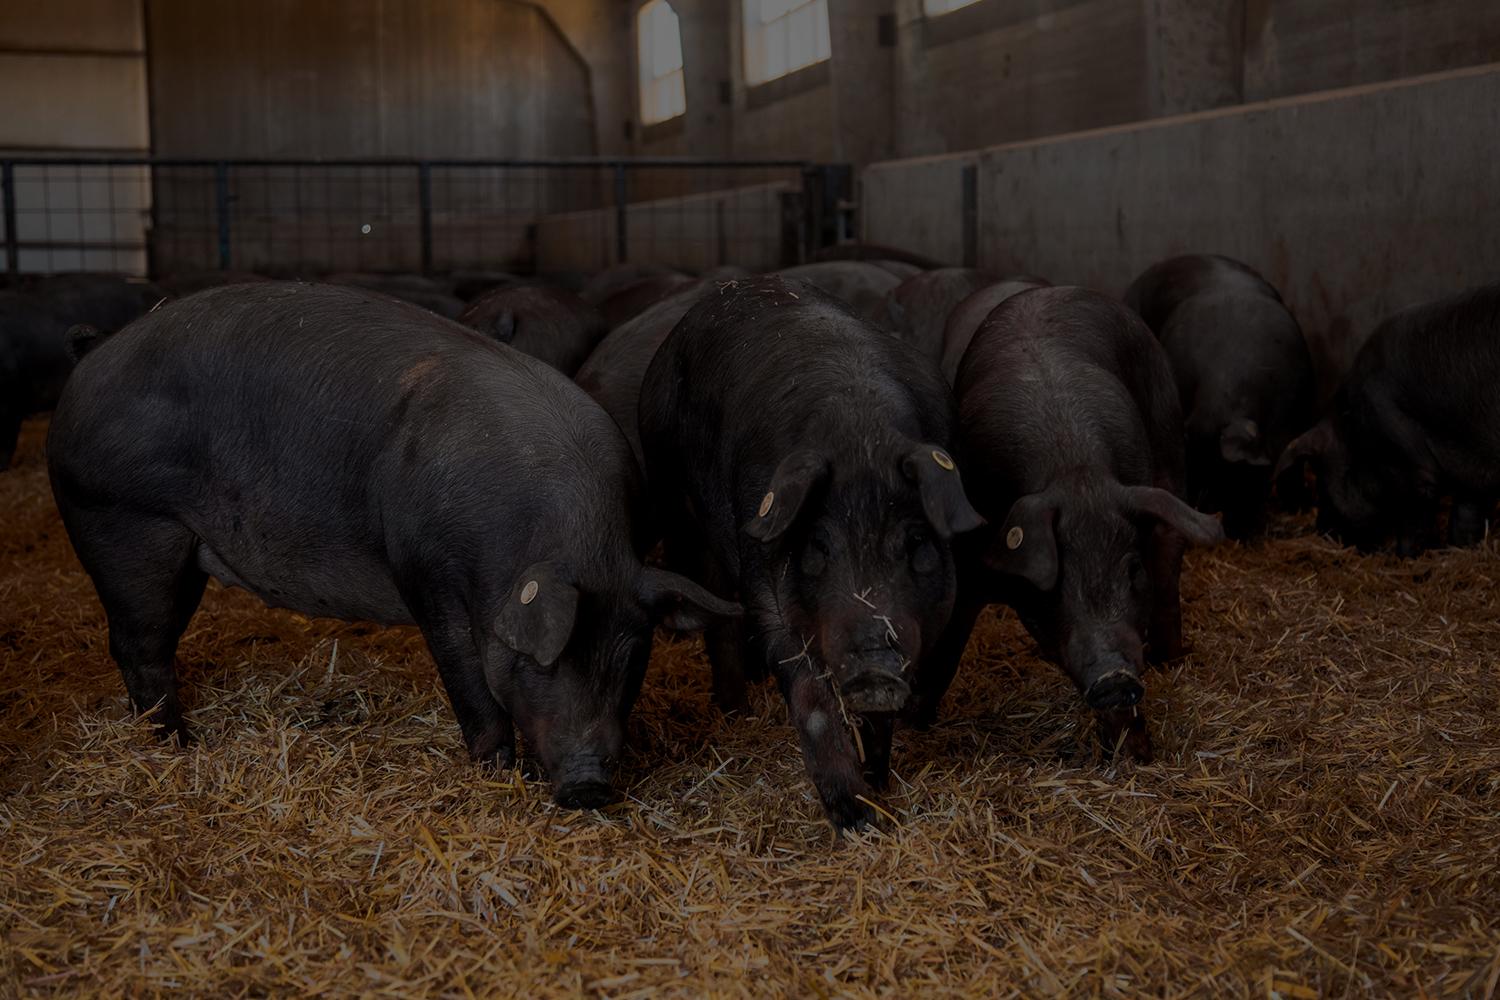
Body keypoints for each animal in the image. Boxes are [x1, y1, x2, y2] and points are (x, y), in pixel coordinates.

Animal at [41, 280, 732, 803]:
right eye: (542, 660)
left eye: (633, 660)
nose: (588, 786)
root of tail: (92, 353)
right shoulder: (426, 574)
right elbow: (471, 686)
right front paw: (496, 776)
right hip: (120, 520)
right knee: (138, 646)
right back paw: (179, 747)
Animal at [642, 275, 984, 827]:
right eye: (820, 543)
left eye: (915, 541)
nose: (874, 660)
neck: (861, 437)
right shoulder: (766, 579)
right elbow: (809, 694)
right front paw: (856, 816)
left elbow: (877, 721)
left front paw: (878, 785)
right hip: (674, 496)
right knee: (720, 619)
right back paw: (736, 713)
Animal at [906, 287, 1224, 758]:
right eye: (1053, 586)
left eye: (1133, 571)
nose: (1114, 678)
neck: (1074, 471)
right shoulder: (970, 562)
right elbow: (941, 657)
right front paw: (908, 730)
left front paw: (1135, 754)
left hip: (1169, 447)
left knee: (1169, 568)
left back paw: (1170, 657)